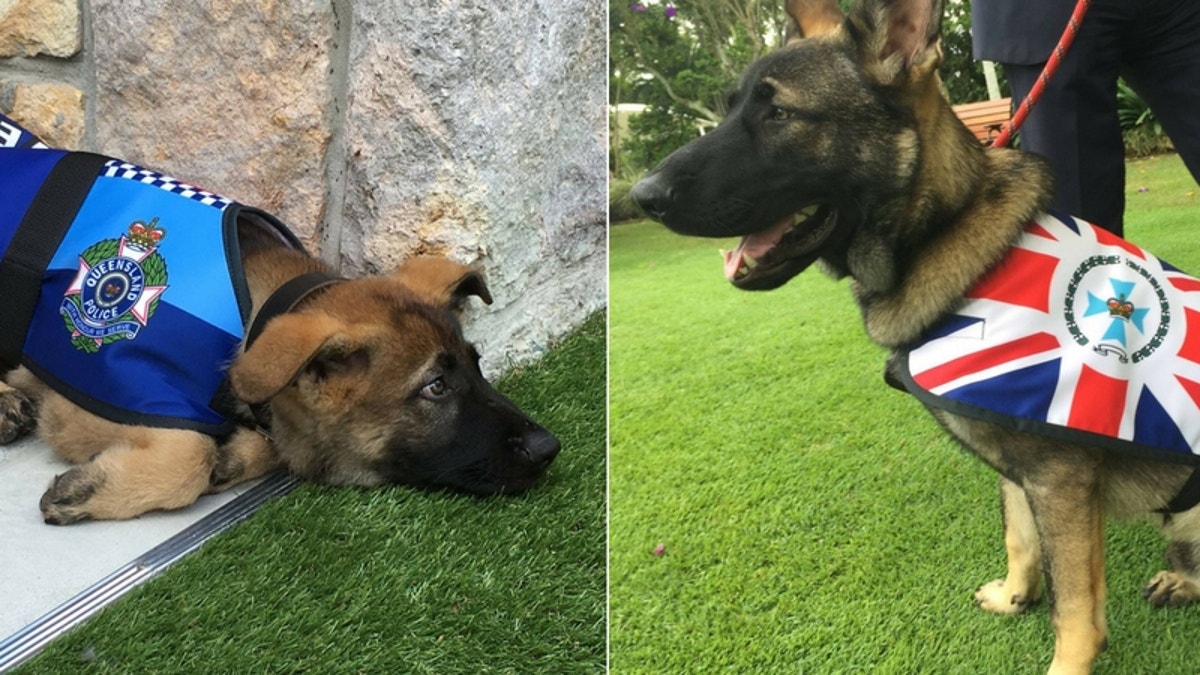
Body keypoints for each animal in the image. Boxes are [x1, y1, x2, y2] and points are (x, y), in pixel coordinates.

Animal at [0, 218, 559, 523]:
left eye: (477, 366)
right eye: (436, 387)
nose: (548, 448)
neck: (248, 319)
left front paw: (234, 456)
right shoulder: (84, 397)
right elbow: (190, 457)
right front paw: (88, 492)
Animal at [633, 1, 1195, 667]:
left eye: (780, 114)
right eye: (729, 108)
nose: (640, 196)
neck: (946, 232)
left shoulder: (1061, 480)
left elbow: (1075, 609)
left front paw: (1066, 660)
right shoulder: (1022, 475)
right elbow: (1019, 536)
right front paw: (1015, 596)